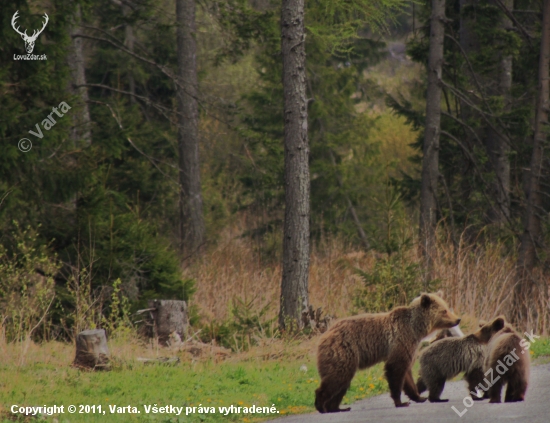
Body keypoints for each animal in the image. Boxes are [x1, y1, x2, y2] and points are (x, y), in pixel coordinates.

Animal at [314, 294, 462, 412]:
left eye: (447, 307)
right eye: (444, 310)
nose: (458, 319)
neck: (416, 328)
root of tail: (324, 336)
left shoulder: (409, 347)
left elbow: (407, 373)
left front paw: (419, 397)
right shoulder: (401, 340)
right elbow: (395, 370)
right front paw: (401, 402)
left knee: (342, 382)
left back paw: (337, 408)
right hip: (343, 351)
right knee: (337, 378)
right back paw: (321, 406)